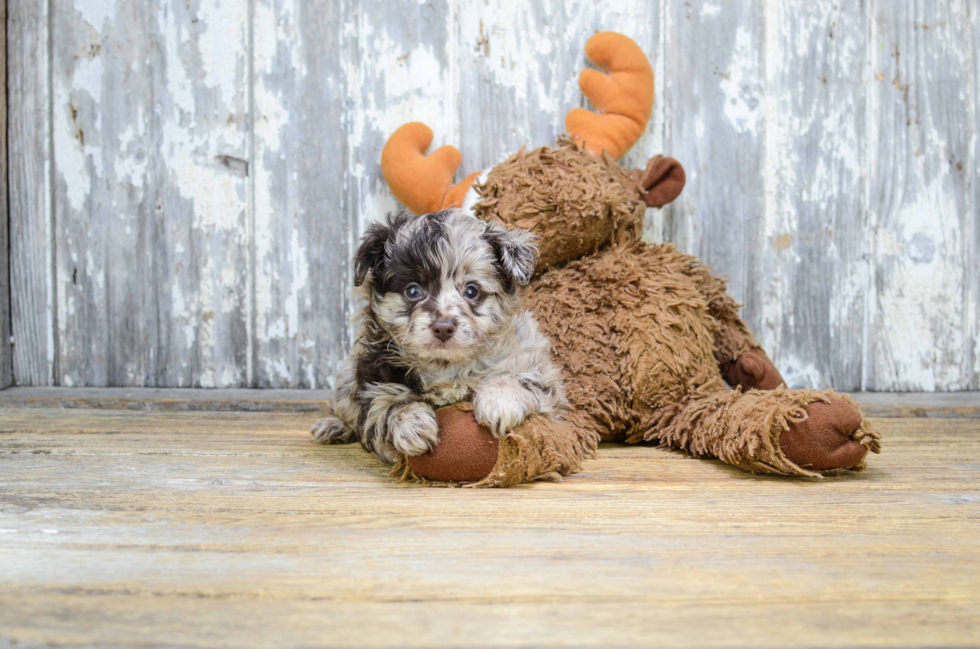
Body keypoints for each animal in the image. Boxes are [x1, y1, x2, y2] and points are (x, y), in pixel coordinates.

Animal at [310, 210, 564, 464]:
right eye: (413, 291)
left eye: (471, 291)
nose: (443, 327)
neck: (446, 367)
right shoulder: (372, 382)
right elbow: (386, 403)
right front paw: (411, 424)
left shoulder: (540, 370)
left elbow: (519, 377)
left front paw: (500, 400)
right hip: (346, 379)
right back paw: (334, 426)